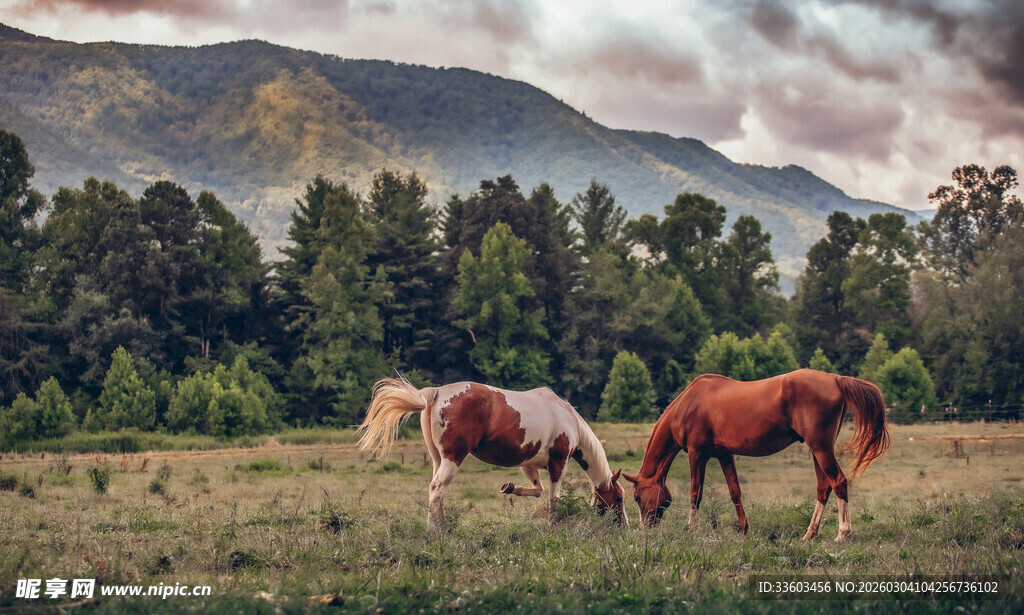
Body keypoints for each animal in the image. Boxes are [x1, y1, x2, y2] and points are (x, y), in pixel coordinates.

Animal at [357, 377, 627, 527]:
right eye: (619, 498)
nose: (624, 527)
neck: (567, 418)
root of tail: (437, 391)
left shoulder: (528, 464)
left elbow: (538, 490)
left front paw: (509, 488)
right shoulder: (558, 464)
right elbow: (554, 498)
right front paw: (554, 525)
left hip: (437, 459)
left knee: (437, 491)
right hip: (453, 458)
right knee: (437, 489)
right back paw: (435, 531)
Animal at [623, 369, 889, 542]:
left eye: (637, 498)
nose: (644, 529)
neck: (689, 403)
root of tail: (835, 379)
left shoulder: (697, 454)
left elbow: (695, 493)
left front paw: (692, 529)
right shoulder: (724, 454)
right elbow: (734, 491)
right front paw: (743, 529)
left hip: (821, 449)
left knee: (839, 482)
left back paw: (843, 533)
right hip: (818, 450)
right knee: (824, 487)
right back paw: (809, 534)